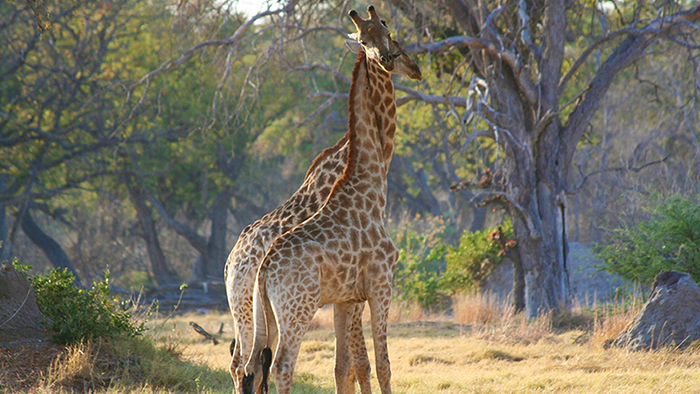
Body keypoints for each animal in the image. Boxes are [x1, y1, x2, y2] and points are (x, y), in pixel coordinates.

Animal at [227, 9, 418, 394]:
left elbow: (345, 367)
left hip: (259, 314)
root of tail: (236, 266)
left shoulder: (346, 298)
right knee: (278, 365)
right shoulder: (379, 284)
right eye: (369, 38)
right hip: (291, 311)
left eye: (387, 30)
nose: (407, 64)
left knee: (248, 364)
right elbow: (377, 364)